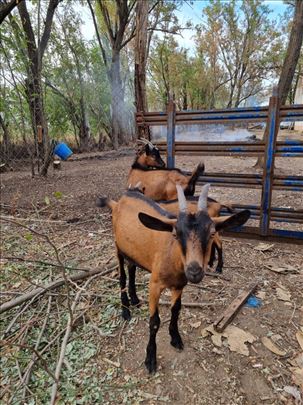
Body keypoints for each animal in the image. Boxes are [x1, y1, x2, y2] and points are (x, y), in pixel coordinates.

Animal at [98, 185, 252, 370]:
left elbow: (176, 310)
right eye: (176, 234)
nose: (194, 270)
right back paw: (126, 310)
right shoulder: (154, 285)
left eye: (212, 232)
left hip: (133, 251)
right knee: (122, 275)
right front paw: (150, 359)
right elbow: (154, 322)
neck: (172, 256)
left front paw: (175, 338)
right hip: (118, 248)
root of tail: (118, 202)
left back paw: (135, 299)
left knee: (132, 268)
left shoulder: (179, 285)